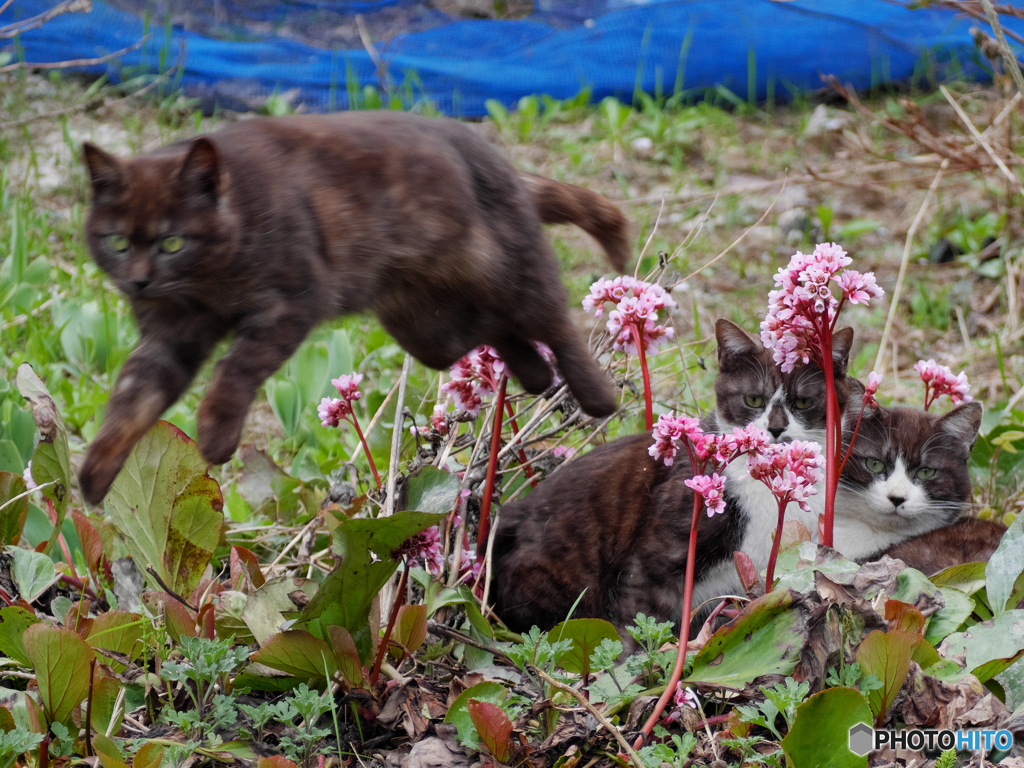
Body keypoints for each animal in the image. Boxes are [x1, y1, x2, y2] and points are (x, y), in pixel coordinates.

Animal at [75, 108, 626, 505]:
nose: (139, 281)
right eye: (117, 241)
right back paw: (536, 376)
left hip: (506, 273)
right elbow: (131, 398)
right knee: (497, 330)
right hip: (427, 328)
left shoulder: (291, 304)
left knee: (552, 318)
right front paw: (94, 476)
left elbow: (235, 367)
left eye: (171, 242)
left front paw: (214, 437)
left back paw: (598, 396)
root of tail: (503, 163)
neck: (205, 284)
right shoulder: (169, 338)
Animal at [489, 319, 856, 638]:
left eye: (802, 402)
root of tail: (509, 512)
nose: (776, 428)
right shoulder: (655, 556)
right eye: (754, 399)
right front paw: (640, 665)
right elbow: (641, 619)